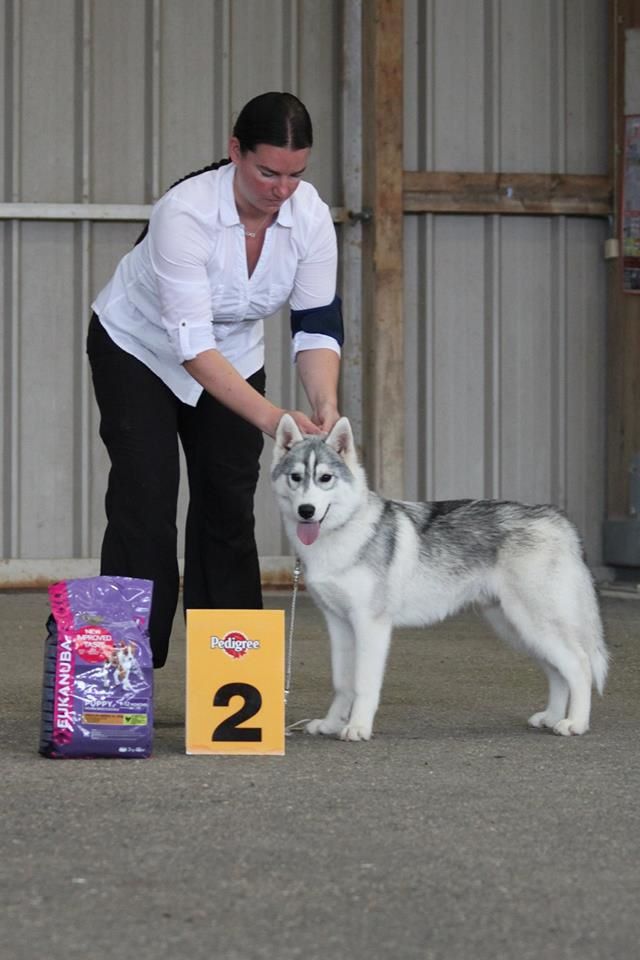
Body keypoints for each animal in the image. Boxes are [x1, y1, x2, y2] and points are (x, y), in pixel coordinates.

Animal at [271, 414, 608, 741]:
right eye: (296, 477)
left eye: (325, 478)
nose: (306, 510)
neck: (343, 533)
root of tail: (556, 517)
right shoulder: (338, 624)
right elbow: (342, 683)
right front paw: (330, 724)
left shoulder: (370, 625)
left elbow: (363, 685)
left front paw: (358, 727)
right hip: (517, 629)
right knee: (558, 672)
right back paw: (552, 717)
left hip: (534, 623)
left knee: (579, 667)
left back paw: (575, 723)